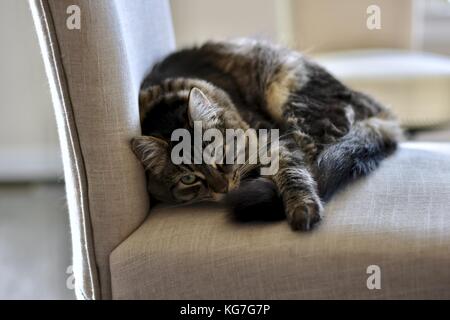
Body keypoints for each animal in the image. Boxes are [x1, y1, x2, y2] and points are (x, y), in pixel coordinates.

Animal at [131, 38, 400, 231]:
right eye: (188, 179)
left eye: (219, 153)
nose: (223, 189)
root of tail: (379, 110)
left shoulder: (272, 138)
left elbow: (293, 172)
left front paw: (302, 207)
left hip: (293, 102)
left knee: (316, 168)